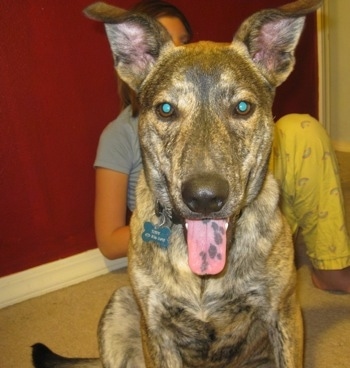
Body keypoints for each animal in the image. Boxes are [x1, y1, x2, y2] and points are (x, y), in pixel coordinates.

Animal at [32, 1, 322, 366]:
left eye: (242, 107)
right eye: (166, 109)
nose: (205, 198)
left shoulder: (283, 313)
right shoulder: (156, 327)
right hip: (120, 306)